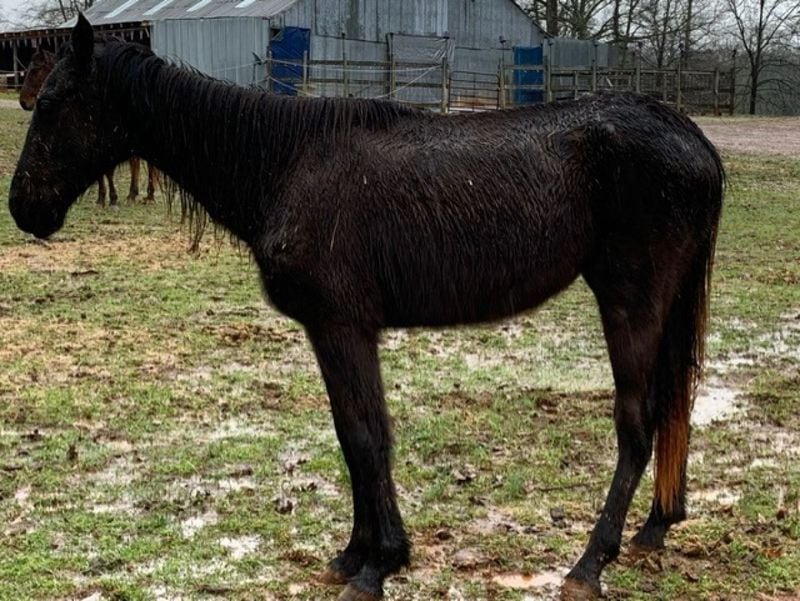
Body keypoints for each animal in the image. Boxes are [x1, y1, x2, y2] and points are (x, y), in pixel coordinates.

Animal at [19, 47, 158, 206]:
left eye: (35, 70)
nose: (23, 102)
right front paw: (101, 198)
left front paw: (112, 198)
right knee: (135, 163)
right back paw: (132, 194)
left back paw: (149, 195)